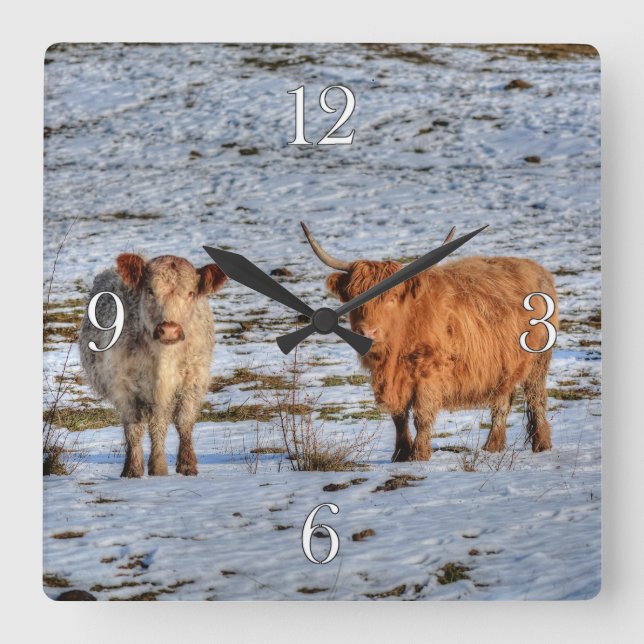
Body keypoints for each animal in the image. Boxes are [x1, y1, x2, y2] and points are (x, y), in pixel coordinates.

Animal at [79, 253, 227, 477]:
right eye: (150, 291)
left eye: (191, 293)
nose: (169, 330)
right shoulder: (123, 387)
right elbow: (134, 428)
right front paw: (134, 469)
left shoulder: (193, 380)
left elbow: (183, 422)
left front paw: (184, 466)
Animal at [300, 222, 558, 462]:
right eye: (354, 297)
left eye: (392, 297)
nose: (367, 331)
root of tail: (536, 268)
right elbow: (399, 416)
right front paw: (400, 453)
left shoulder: (430, 373)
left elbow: (421, 415)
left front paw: (419, 455)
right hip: (503, 367)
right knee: (501, 402)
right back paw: (492, 446)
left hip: (538, 362)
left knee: (536, 399)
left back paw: (541, 445)